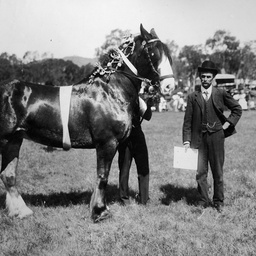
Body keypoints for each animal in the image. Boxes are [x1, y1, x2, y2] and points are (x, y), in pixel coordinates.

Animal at [0, 24, 174, 222]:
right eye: (153, 52)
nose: (170, 85)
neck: (111, 90)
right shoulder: (107, 143)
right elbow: (102, 176)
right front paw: (99, 211)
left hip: (15, 139)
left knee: (8, 175)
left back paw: (21, 211)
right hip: (5, 139)